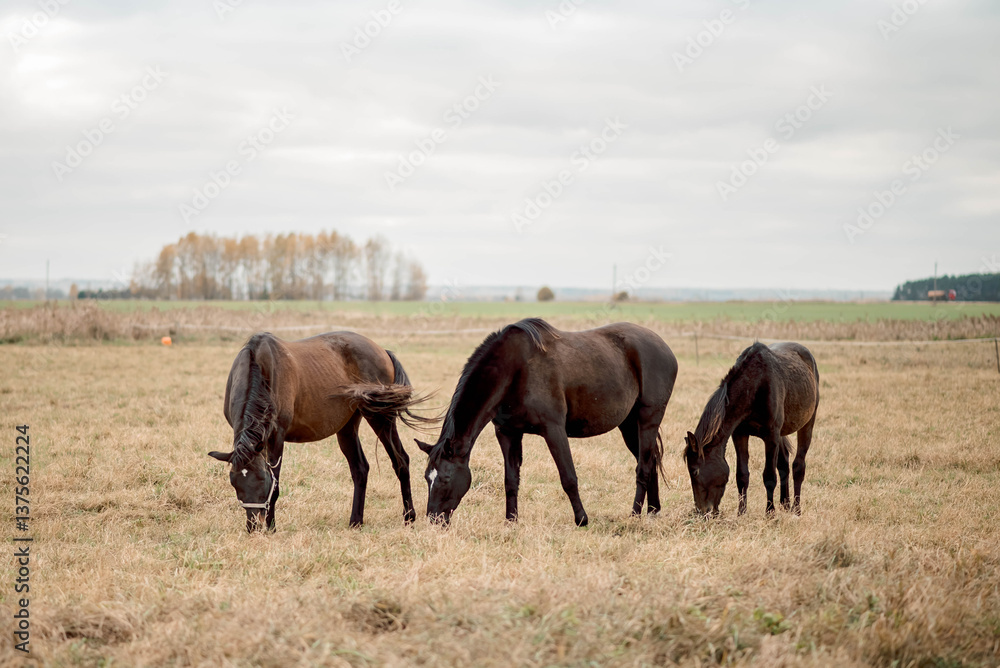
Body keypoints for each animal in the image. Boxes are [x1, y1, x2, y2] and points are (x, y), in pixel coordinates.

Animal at [208, 331, 431, 532]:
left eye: (263, 480)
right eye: (234, 482)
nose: (253, 526)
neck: (259, 368)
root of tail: (382, 350)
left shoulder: (276, 437)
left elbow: (276, 484)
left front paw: (272, 527)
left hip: (380, 418)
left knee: (400, 460)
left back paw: (409, 517)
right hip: (347, 427)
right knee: (360, 469)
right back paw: (355, 522)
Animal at [415, 318, 678, 526]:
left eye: (445, 478)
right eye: (427, 477)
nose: (434, 519)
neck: (516, 370)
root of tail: (664, 347)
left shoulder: (554, 430)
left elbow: (568, 477)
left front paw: (582, 520)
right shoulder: (507, 433)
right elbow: (511, 480)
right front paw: (511, 521)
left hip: (648, 419)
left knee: (643, 467)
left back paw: (635, 515)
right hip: (629, 425)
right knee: (650, 461)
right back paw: (653, 511)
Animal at [683, 341, 819, 516]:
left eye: (695, 471)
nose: (701, 512)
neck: (755, 386)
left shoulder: (771, 437)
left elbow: (769, 476)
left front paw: (770, 513)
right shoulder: (740, 435)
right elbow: (742, 475)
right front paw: (741, 512)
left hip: (807, 424)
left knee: (798, 467)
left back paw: (796, 509)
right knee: (784, 464)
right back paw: (785, 503)